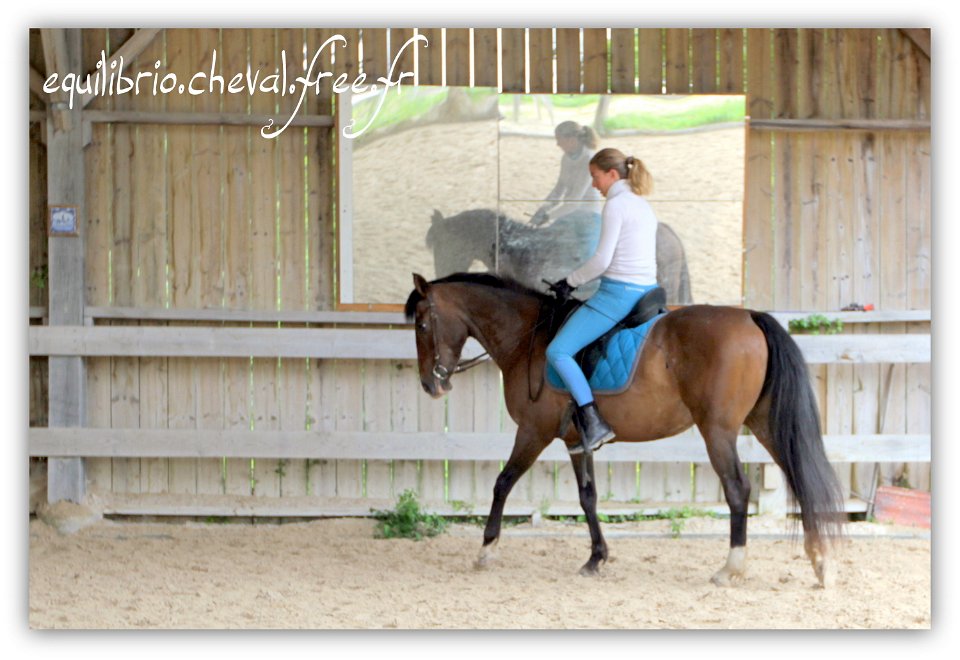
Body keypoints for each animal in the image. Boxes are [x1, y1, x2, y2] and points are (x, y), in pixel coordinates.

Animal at [408, 272, 844, 588]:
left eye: (423, 323)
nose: (430, 385)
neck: (527, 336)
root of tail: (750, 315)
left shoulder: (534, 433)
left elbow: (502, 483)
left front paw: (487, 548)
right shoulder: (575, 442)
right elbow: (588, 498)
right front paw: (595, 558)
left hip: (718, 431)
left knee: (738, 489)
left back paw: (731, 568)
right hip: (764, 423)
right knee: (798, 476)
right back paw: (820, 560)